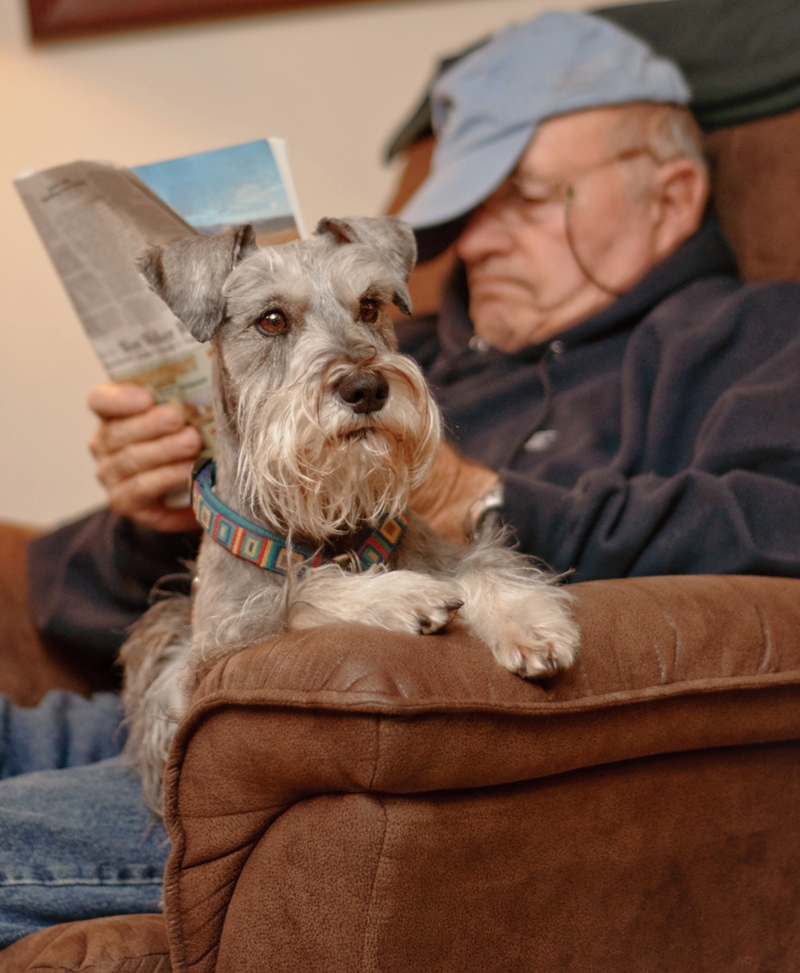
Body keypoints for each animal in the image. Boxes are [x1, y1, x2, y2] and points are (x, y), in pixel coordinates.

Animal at [122, 216, 580, 808]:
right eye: (272, 320)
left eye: (369, 306)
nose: (366, 387)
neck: (329, 524)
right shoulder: (207, 662)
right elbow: (298, 594)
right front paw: (402, 597)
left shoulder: (449, 550)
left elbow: (483, 564)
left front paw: (529, 623)